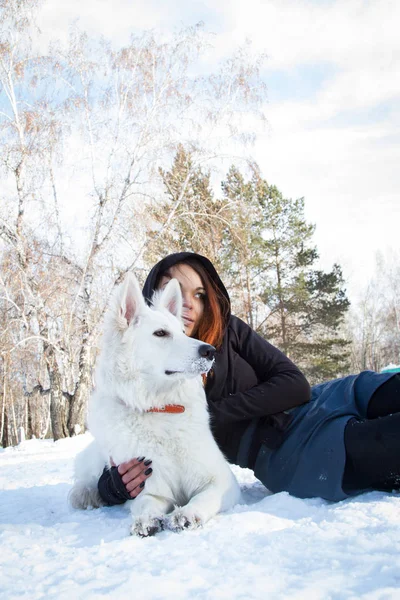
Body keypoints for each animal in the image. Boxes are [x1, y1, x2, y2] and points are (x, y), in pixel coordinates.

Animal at [69, 272, 241, 536]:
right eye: (160, 333)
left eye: (183, 331)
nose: (210, 351)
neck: (159, 407)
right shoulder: (149, 484)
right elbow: (145, 504)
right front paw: (145, 520)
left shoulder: (221, 480)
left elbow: (204, 498)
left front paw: (187, 514)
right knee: (83, 485)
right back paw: (90, 494)